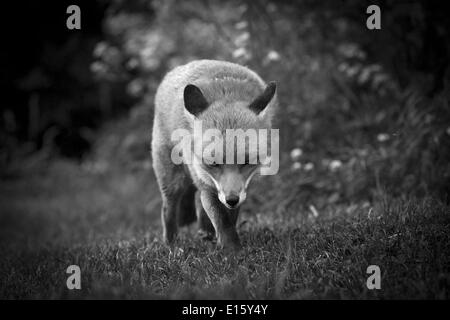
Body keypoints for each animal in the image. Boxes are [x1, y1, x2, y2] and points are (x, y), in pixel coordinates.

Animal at [151, 59, 278, 250]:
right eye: (213, 163)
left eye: (247, 162)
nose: (231, 199)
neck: (226, 93)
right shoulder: (207, 183)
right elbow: (221, 219)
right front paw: (233, 251)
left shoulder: (241, 187)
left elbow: (229, 219)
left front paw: (228, 244)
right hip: (174, 180)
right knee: (168, 210)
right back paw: (172, 245)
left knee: (198, 205)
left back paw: (206, 234)